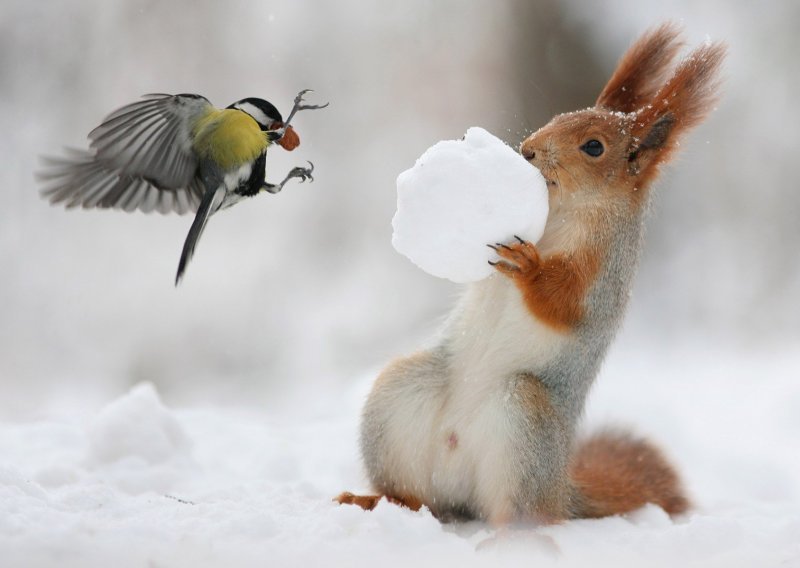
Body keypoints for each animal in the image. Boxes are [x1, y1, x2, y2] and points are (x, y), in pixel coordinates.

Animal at [338, 25, 724, 524]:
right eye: (559, 116)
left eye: (594, 146)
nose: (527, 151)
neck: (563, 212)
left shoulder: (603, 274)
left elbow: (565, 302)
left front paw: (530, 266)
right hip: (400, 396)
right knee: (417, 497)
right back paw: (375, 500)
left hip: (524, 422)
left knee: (523, 512)